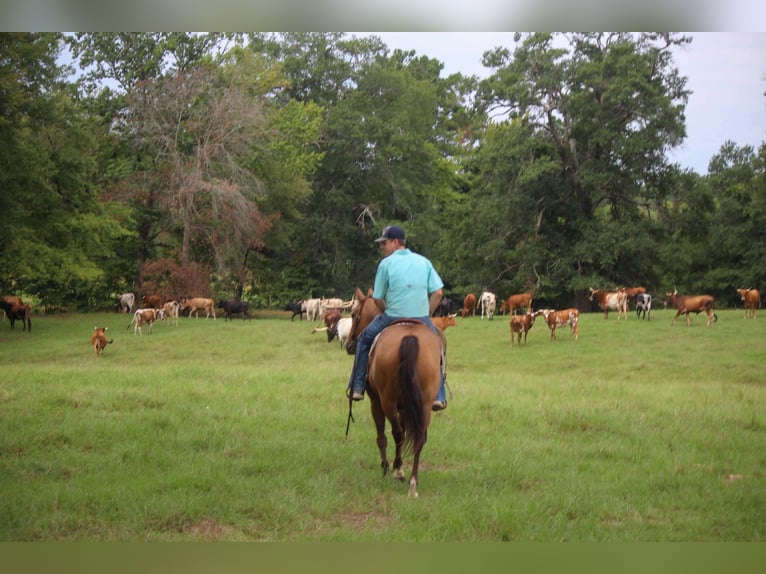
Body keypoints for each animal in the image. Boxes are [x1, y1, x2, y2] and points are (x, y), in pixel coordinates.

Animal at [346, 288, 448, 500]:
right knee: (419, 437)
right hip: (424, 403)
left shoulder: (376, 402)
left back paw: (397, 471)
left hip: (387, 401)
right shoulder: (405, 407)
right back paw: (413, 483)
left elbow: (381, 435)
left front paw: (386, 467)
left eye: (353, 314)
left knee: (397, 433)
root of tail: (410, 337)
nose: (350, 344)